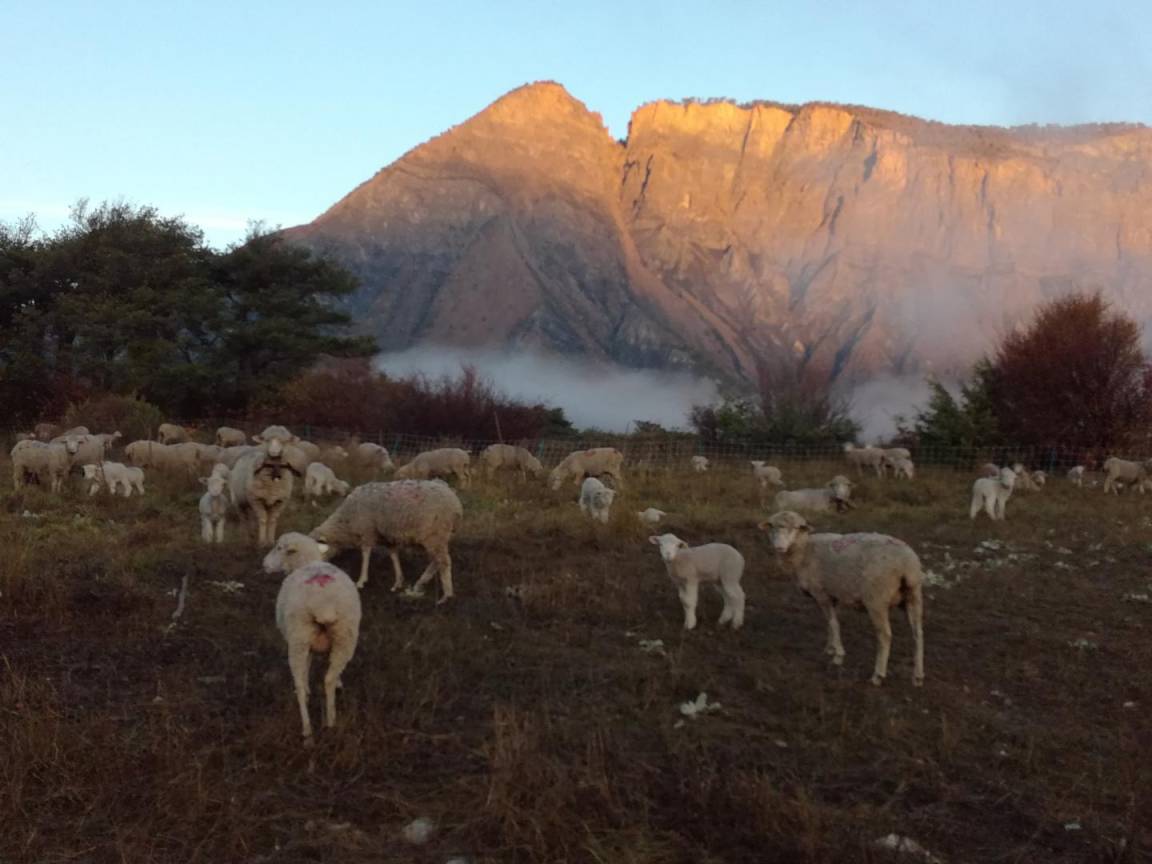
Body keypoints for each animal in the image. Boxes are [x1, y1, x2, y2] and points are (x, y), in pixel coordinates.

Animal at [263, 532, 361, 741]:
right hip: (345, 637)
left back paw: (307, 730)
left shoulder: (304, 644)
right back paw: (331, 722)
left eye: (279, 548)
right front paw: (340, 683)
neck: (307, 561)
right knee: (329, 679)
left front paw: (308, 688)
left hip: (298, 638)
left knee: (299, 685)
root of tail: (324, 603)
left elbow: (307, 669)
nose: (264, 564)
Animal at [309, 480, 463, 599]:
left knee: (444, 562)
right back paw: (420, 584)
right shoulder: (388, 538)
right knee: (436, 562)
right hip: (436, 537)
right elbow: (393, 556)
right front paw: (398, 582)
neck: (345, 523)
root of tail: (455, 500)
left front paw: (361, 581)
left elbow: (365, 554)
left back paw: (446, 596)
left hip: (435, 534)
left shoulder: (367, 531)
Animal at [758, 510, 924, 686]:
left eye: (796, 528)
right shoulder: (833, 595)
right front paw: (829, 649)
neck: (805, 550)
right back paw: (918, 676)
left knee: (885, 635)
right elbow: (830, 623)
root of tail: (906, 562)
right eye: (772, 527)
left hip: (876, 599)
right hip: (913, 595)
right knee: (918, 634)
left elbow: (833, 623)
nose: (779, 546)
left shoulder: (821, 593)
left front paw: (838, 655)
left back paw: (878, 675)